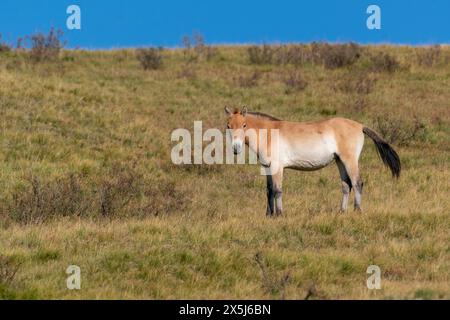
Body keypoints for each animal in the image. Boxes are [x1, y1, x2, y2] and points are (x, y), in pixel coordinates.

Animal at [225, 106, 400, 216]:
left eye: (244, 124)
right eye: (228, 125)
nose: (236, 148)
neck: (268, 133)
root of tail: (360, 125)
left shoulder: (277, 167)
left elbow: (277, 190)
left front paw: (279, 214)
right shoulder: (267, 167)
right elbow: (269, 191)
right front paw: (268, 214)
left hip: (349, 160)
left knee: (357, 183)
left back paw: (357, 211)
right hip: (339, 161)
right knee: (346, 185)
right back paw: (341, 212)